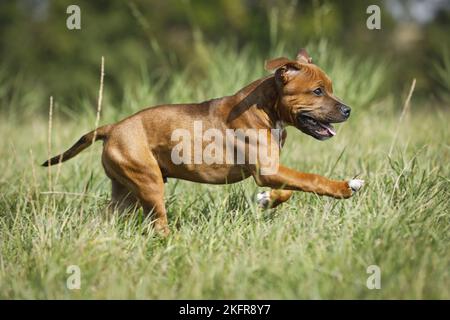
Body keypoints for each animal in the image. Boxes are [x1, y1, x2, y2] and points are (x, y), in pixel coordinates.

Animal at [44, 50, 364, 235]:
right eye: (318, 91)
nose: (348, 110)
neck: (266, 107)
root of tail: (112, 128)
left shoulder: (272, 170)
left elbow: (289, 189)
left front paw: (266, 201)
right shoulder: (267, 170)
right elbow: (311, 179)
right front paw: (344, 187)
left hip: (125, 192)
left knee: (106, 217)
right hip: (149, 184)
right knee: (158, 224)